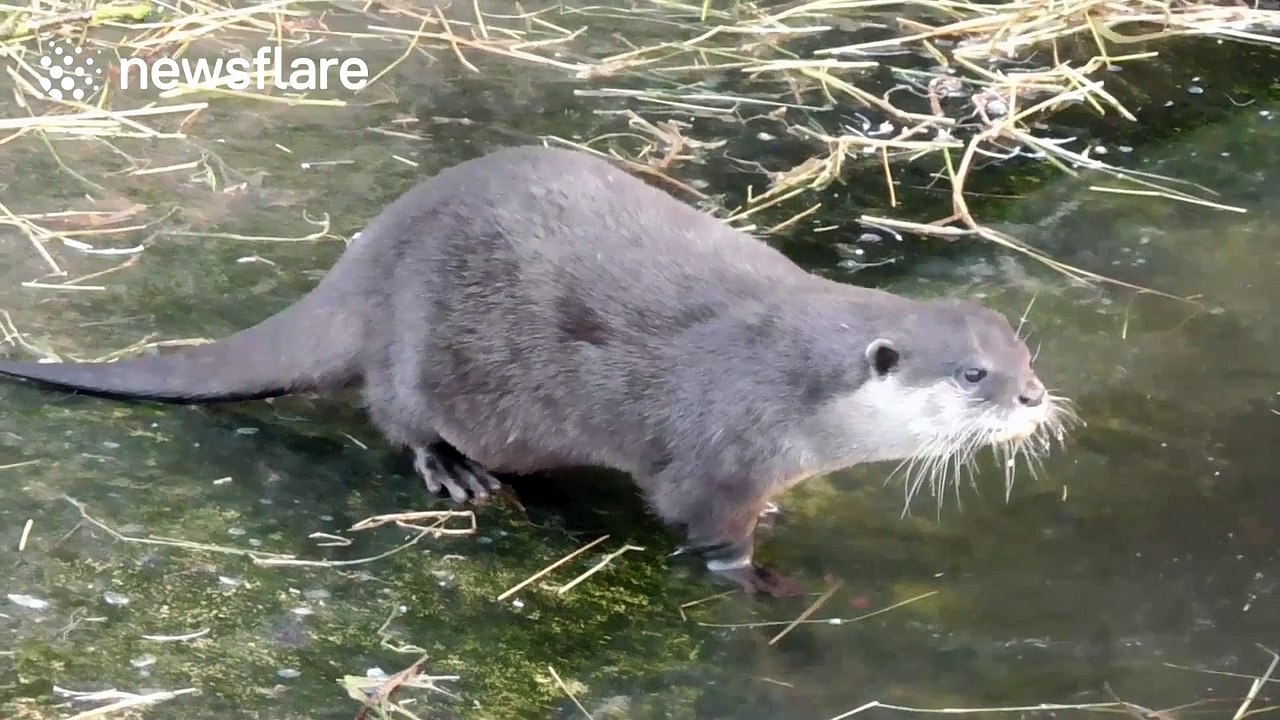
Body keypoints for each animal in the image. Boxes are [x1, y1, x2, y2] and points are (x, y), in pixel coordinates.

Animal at [0, 146, 1074, 597]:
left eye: (1024, 354)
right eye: (971, 376)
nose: (1033, 397)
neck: (798, 387)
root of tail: (374, 250)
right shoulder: (717, 453)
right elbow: (709, 533)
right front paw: (764, 578)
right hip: (418, 347)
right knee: (394, 411)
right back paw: (456, 472)